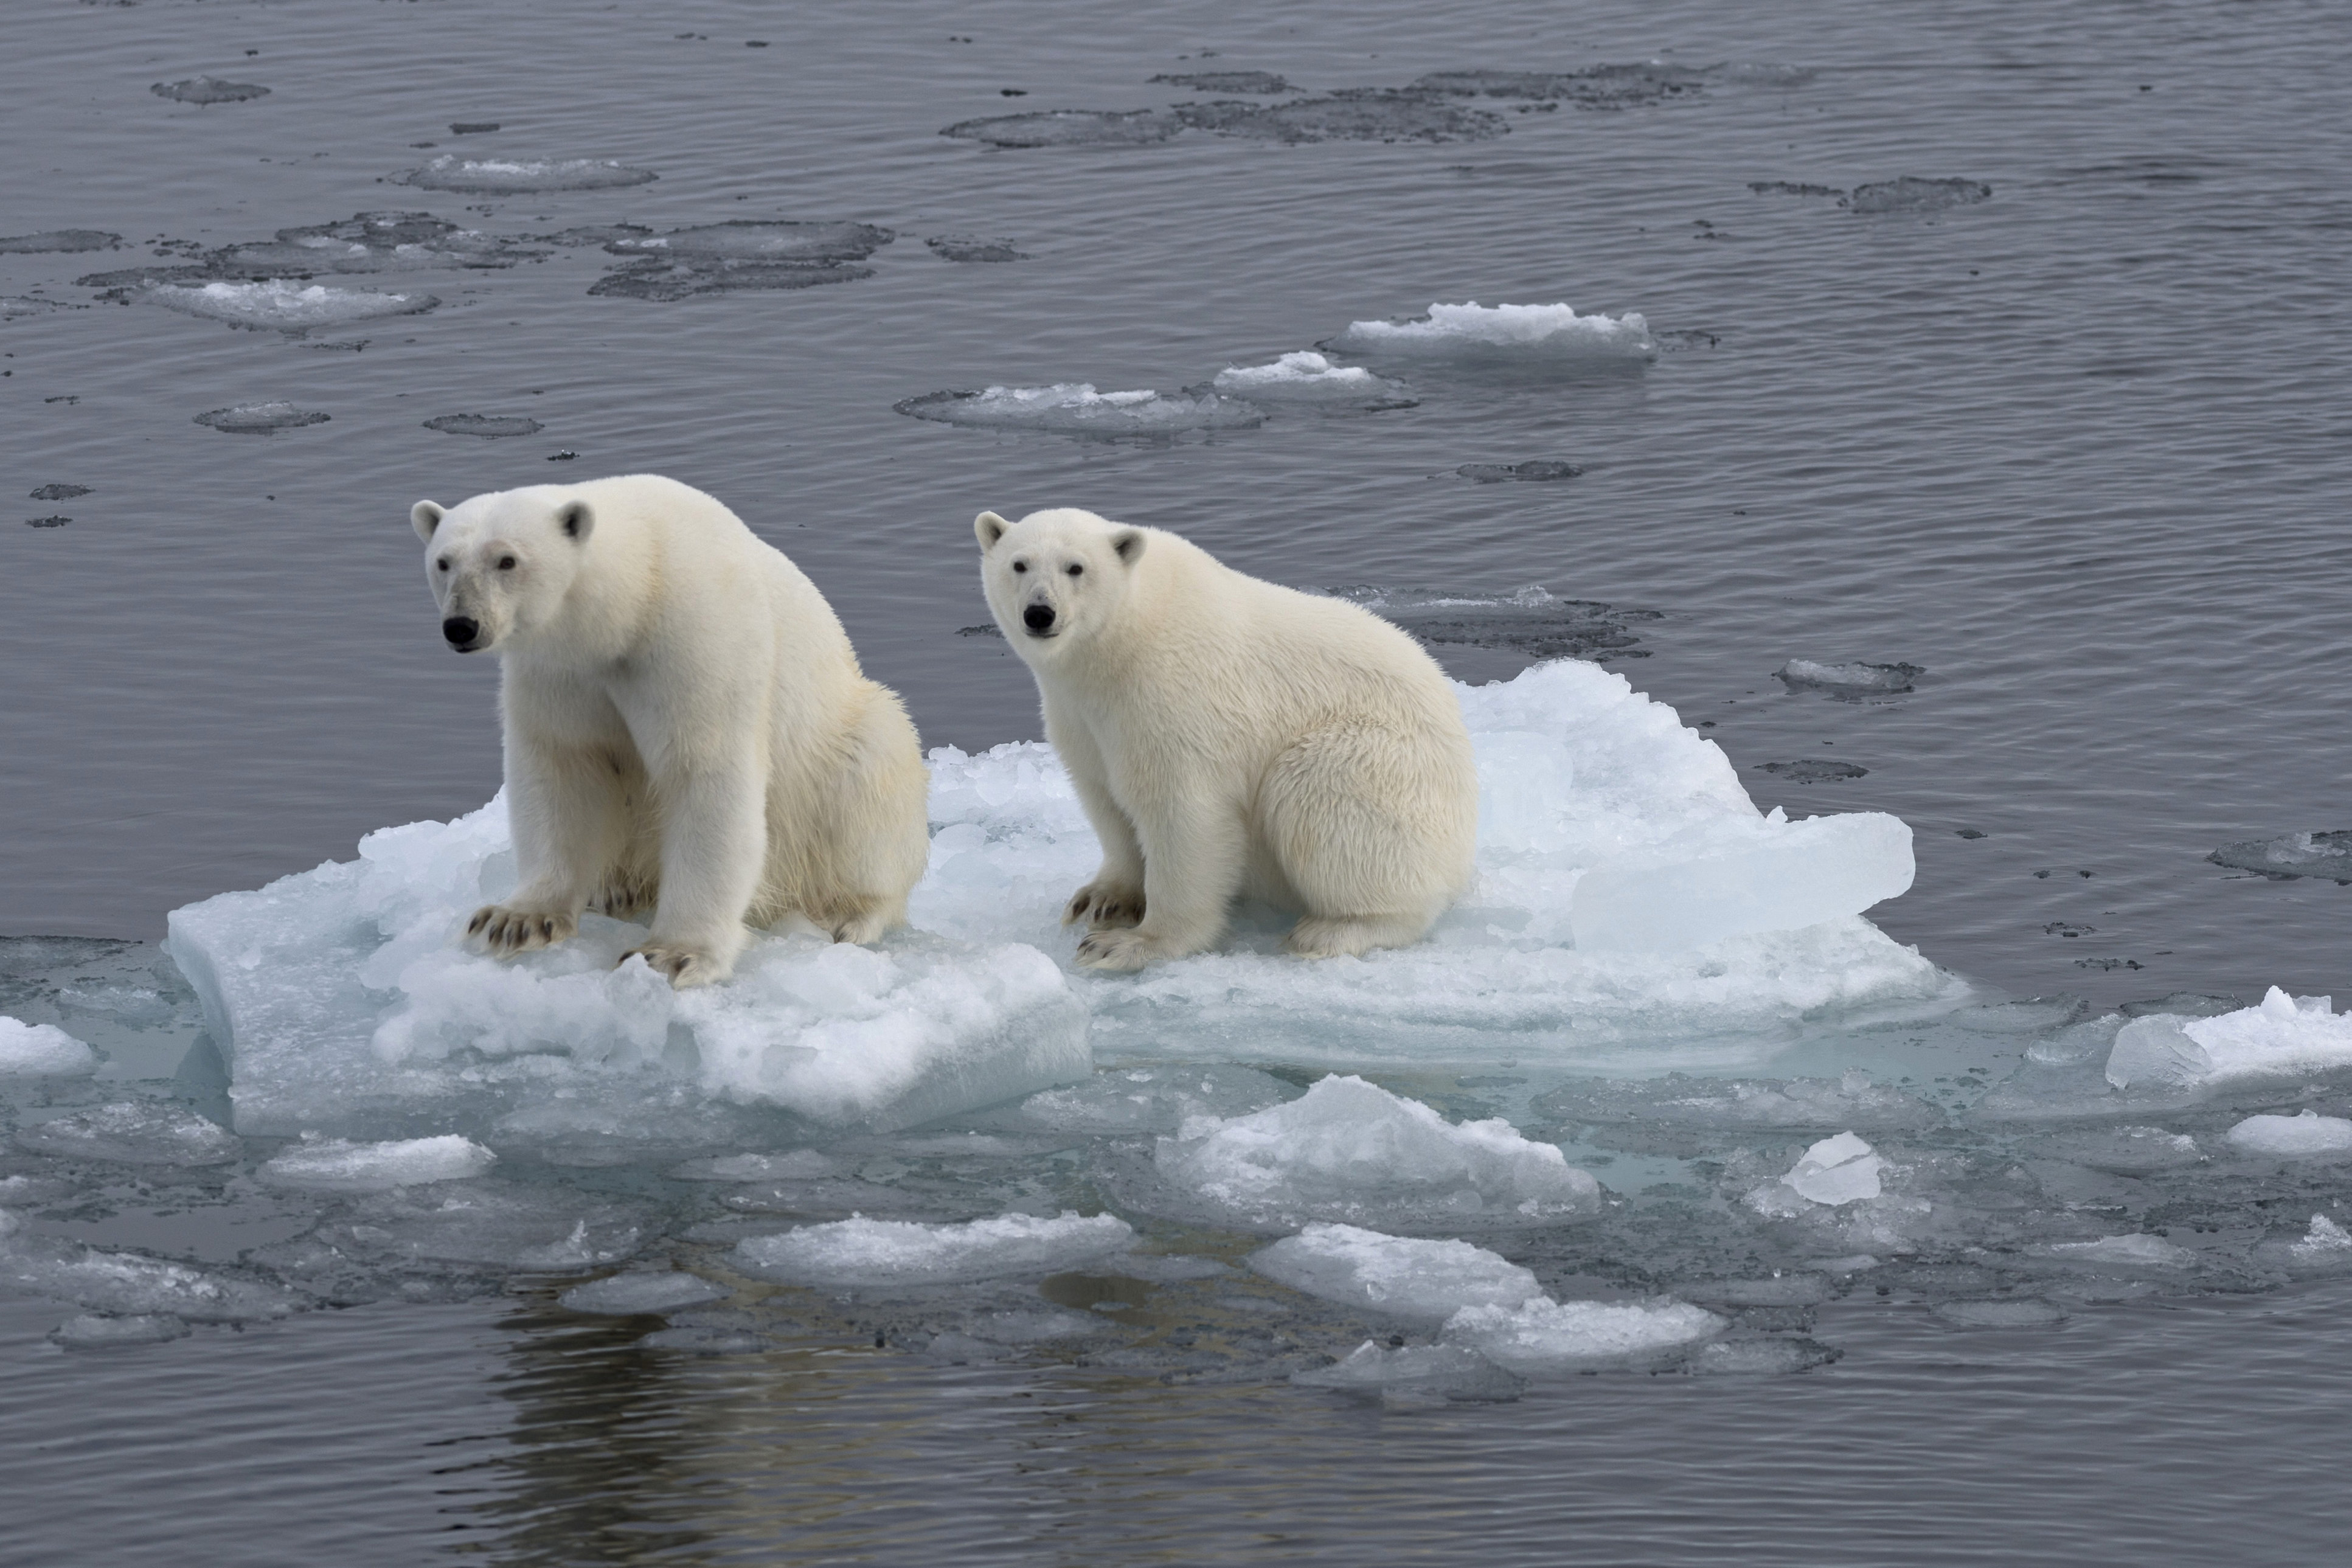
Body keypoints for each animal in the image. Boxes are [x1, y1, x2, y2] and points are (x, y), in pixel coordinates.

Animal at [414, 479, 926, 987]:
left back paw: (851, 915)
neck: (636, 592)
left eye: (507, 559)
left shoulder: (695, 638)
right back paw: (615, 890)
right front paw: (514, 921)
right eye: (444, 562)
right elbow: (562, 768)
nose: (461, 626)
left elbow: (704, 775)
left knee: (869, 787)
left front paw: (674, 955)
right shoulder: (559, 674)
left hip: (843, 744)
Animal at [969, 510, 1468, 968]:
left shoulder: (1174, 698)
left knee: (1318, 797)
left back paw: (1331, 931)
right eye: (1019, 564)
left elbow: (1184, 813)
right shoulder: (1078, 716)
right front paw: (1102, 899)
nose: (1040, 613)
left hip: (1376, 760)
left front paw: (1128, 944)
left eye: (1075, 567)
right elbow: (1104, 799)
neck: (1122, 640)